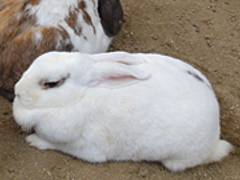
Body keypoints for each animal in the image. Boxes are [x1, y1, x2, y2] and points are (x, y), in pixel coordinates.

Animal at [12, 51, 232, 172]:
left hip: (177, 158)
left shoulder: (88, 148)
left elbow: (55, 144)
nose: (17, 90)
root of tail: (215, 138)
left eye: (52, 84)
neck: (79, 96)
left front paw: (34, 141)